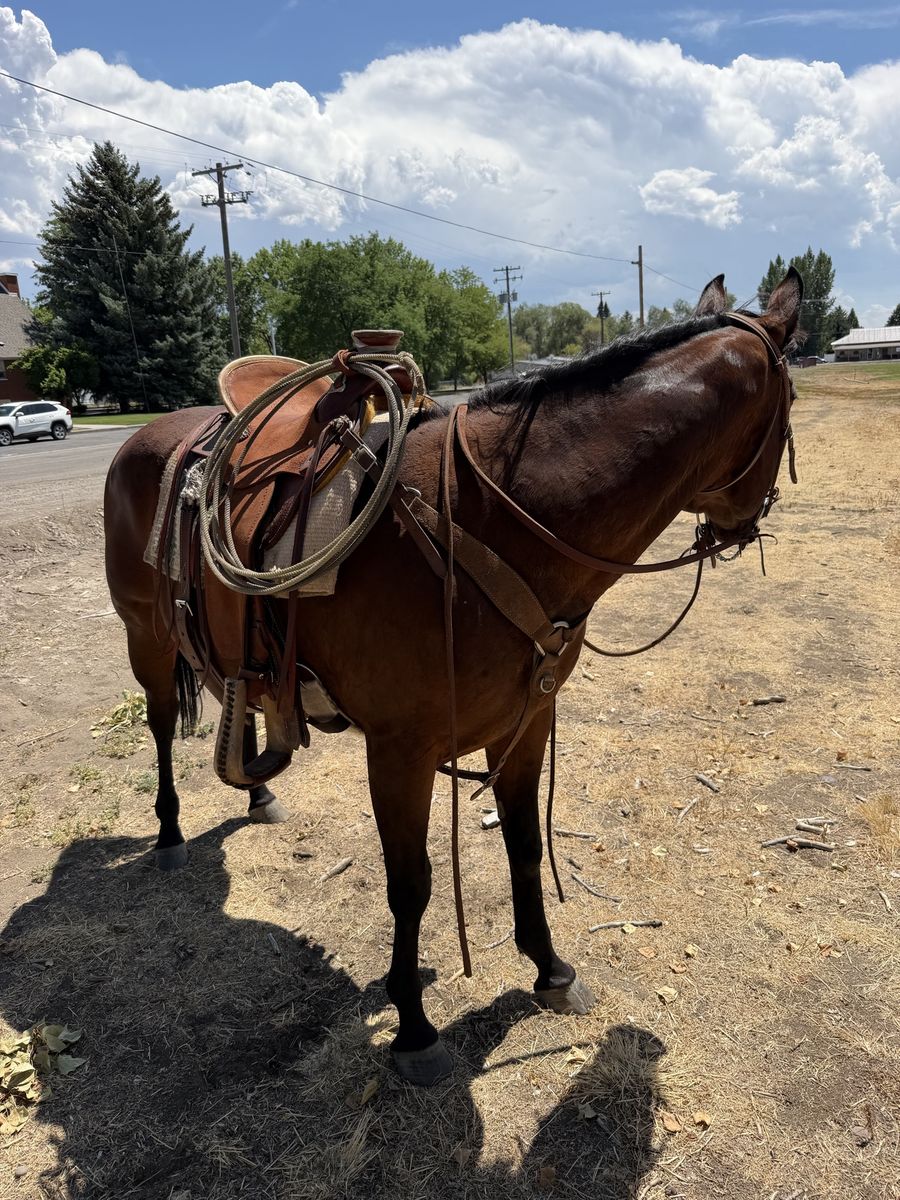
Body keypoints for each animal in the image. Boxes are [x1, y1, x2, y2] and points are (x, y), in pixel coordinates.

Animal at [104, 266, 802, 1085]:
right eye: (792, 407)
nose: (745, 523)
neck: (488, 520)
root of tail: (145, 438)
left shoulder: (525, 723)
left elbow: (525, 844)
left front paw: (550, 969)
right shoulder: (399, 752)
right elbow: (411, 886)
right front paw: (413, 1025)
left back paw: (259, 790)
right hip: (145, 637)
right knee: (158, 727)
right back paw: (171, 832)